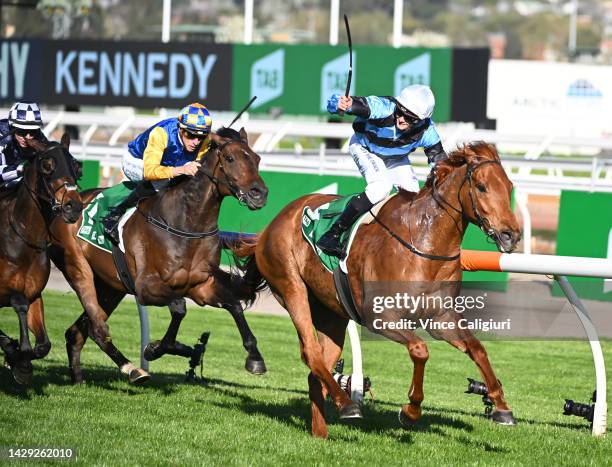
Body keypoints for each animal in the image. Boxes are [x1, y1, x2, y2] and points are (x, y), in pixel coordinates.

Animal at [0, 135, 83, 384]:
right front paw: (19, 357)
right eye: (47, 166)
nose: (74, 206)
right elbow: (18, 302)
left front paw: (18, 360)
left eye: (77, 167)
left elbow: (44, 345)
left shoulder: (34, 293)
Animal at [47, 127, 268, 384]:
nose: (259, 194)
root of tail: (62, 207)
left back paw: (79, 378)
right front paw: (155, 348)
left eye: (256, 159)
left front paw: (254, 357)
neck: (185, 224)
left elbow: (234, 305)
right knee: (97, 328)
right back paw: (133, 369)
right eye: (230, 158)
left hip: (111, 286)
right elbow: (179, 308)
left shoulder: (200, 286)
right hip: (79, 269)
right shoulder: (146, 287)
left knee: (79, 331)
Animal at [234, 143, 520, 438]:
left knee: (318, 366)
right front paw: (411, 409)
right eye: (482, 186)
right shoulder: (380, 317)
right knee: (311, 352)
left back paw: (321, 430)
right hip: (291, 288)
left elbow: (477, 349)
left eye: (509, 186)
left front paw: (502, 407)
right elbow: (420, 350)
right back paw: (347, 404)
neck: (424, 244)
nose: (511, 235)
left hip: (331, 313)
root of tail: (274, 222)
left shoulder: (441, 319)